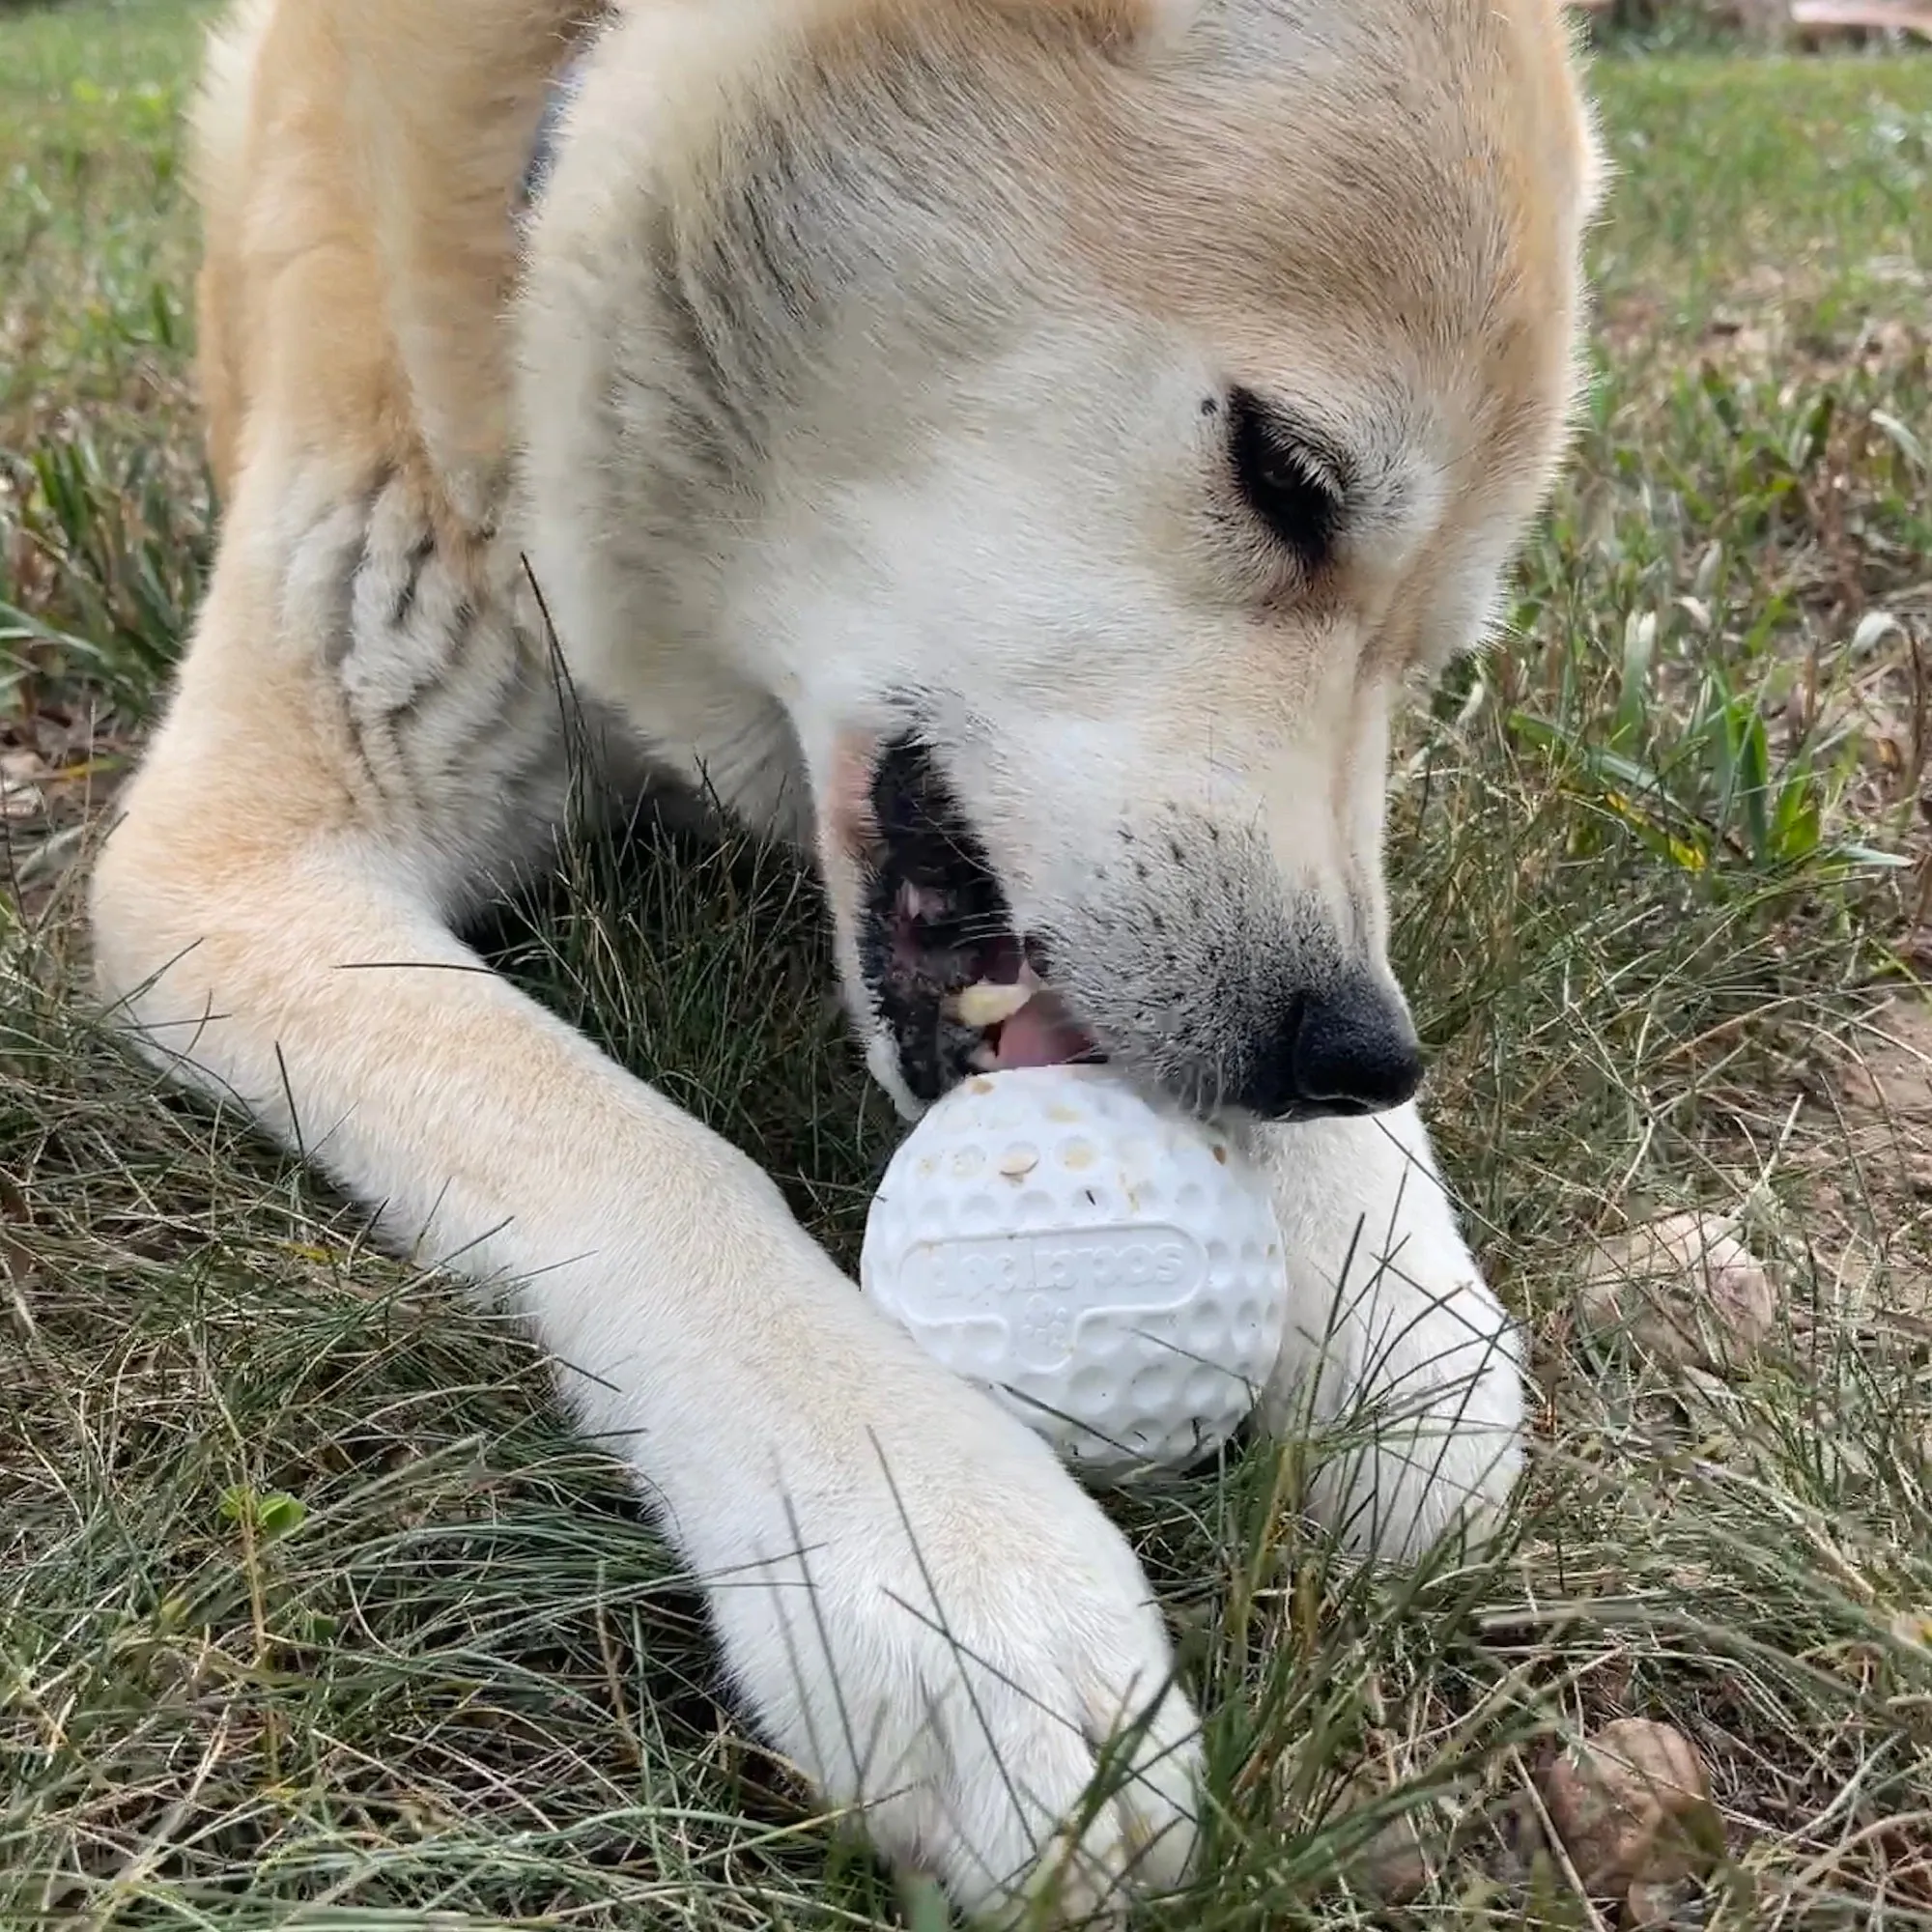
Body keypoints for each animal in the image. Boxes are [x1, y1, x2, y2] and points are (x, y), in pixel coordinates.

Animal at [87, 3, 1600, 1917]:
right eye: (1286, 478)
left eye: (1439, 652)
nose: (1356, 1058)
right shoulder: (237, 859)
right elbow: (651, 1158)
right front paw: (941, 1562)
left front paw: (1394, 1304)